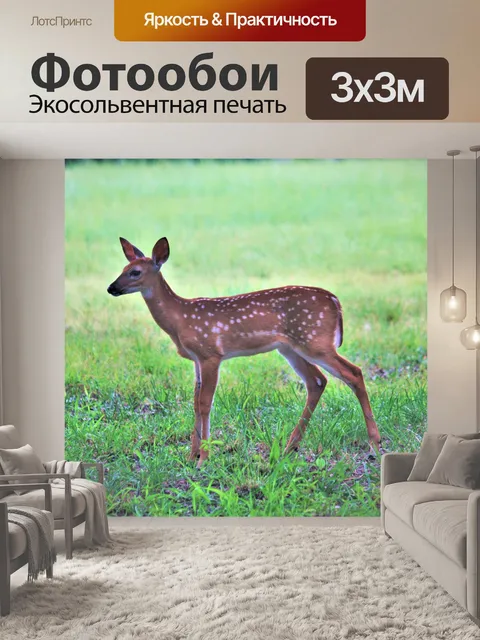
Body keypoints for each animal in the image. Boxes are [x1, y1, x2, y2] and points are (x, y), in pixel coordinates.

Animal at [107, 237, 381, 468]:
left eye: (135, 272)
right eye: (122, 268)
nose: (111, 288)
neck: (180, 319)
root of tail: (336, 302)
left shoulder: (210, 353)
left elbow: (205, 403)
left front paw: (203, 458)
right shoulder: (196, 359)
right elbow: (194, 402)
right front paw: (190, 455)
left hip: (316, 341)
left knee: (353, 373)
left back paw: (374, 445)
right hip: (291, 347)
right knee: (317, 381)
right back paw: (289, 447)